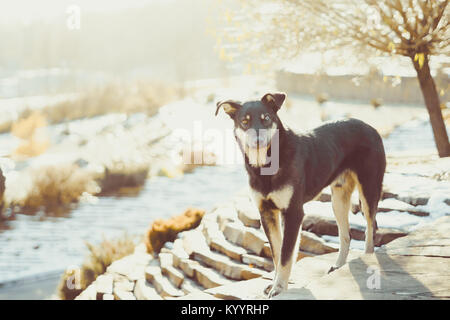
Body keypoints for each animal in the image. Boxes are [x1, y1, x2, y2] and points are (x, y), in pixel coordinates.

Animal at [216, 92, 384, 298]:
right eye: (244, 122)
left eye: (266, 118)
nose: (258, 141)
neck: (267, 165)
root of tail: (371, 127)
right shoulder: (267, 213)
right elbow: (277, 253)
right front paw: (275, 283)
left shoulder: (293, 212)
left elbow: (286, 255)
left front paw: (279, 287)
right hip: (338, 199)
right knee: (346, 234)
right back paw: (339, 266)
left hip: (369, 189)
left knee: (370, 228)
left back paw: (369, 259)